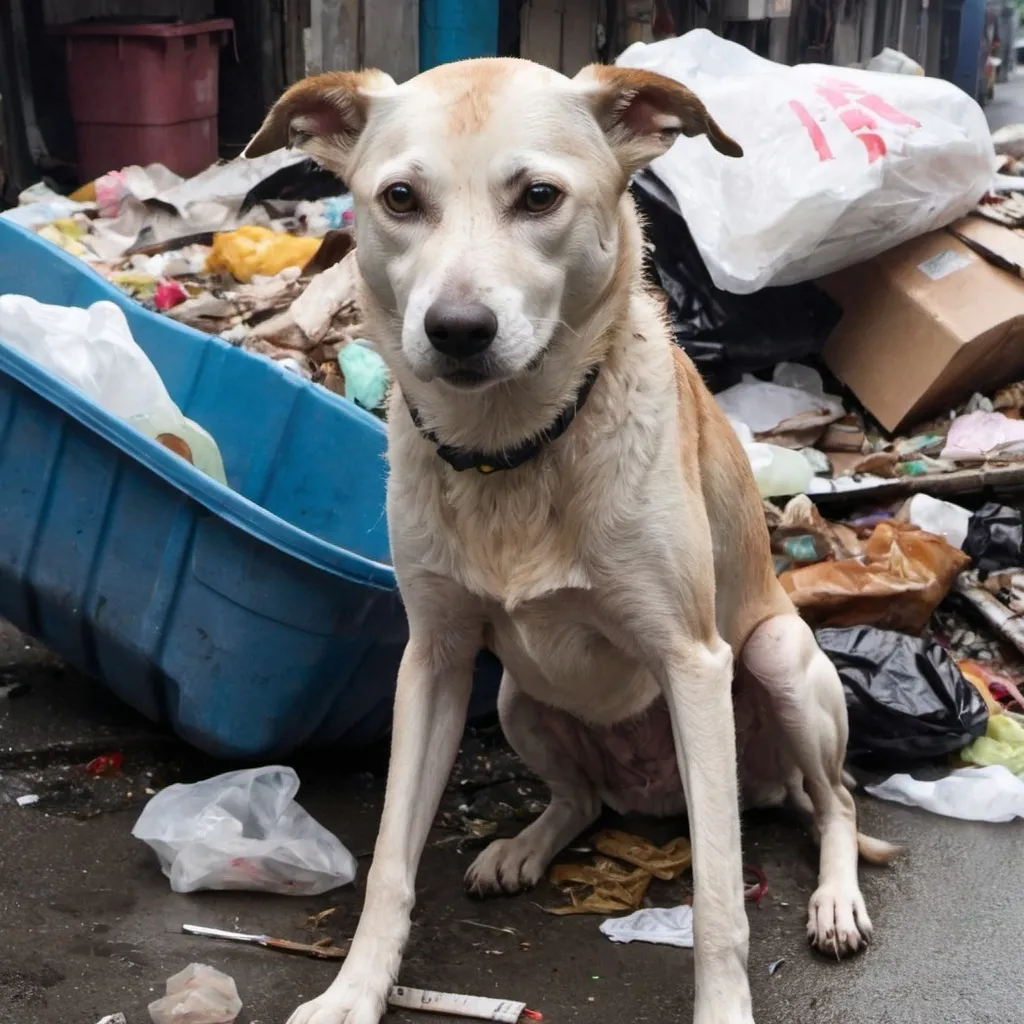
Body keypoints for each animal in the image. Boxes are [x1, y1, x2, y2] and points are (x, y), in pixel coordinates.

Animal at [243, 54, 892, 1024]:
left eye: (540, 196)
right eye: (399, 198)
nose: (457, 331)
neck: (511, 448)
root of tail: (654, 798)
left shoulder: (694, 663)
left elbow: (717, 897)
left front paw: (724, 1004)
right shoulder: (431, 662)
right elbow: (391, 860)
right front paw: (355, 992)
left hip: (775, 661)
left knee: (838, 802)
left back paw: (836, 897)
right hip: (517, 697)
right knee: (582, 799)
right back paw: (526, 844)